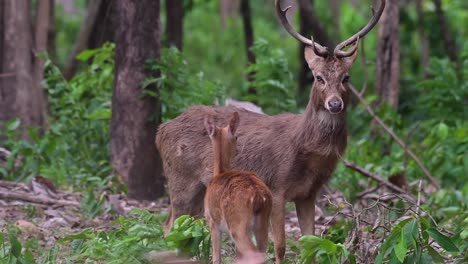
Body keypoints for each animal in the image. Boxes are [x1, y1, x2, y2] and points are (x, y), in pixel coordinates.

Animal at [203, 112, 272, 264]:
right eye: (236, 137)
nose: (238, 149)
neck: (219, 172)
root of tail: (258, 196)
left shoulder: (212, 221)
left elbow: (216, 257)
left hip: (237, 224)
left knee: (254, 254)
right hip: (263, 222)